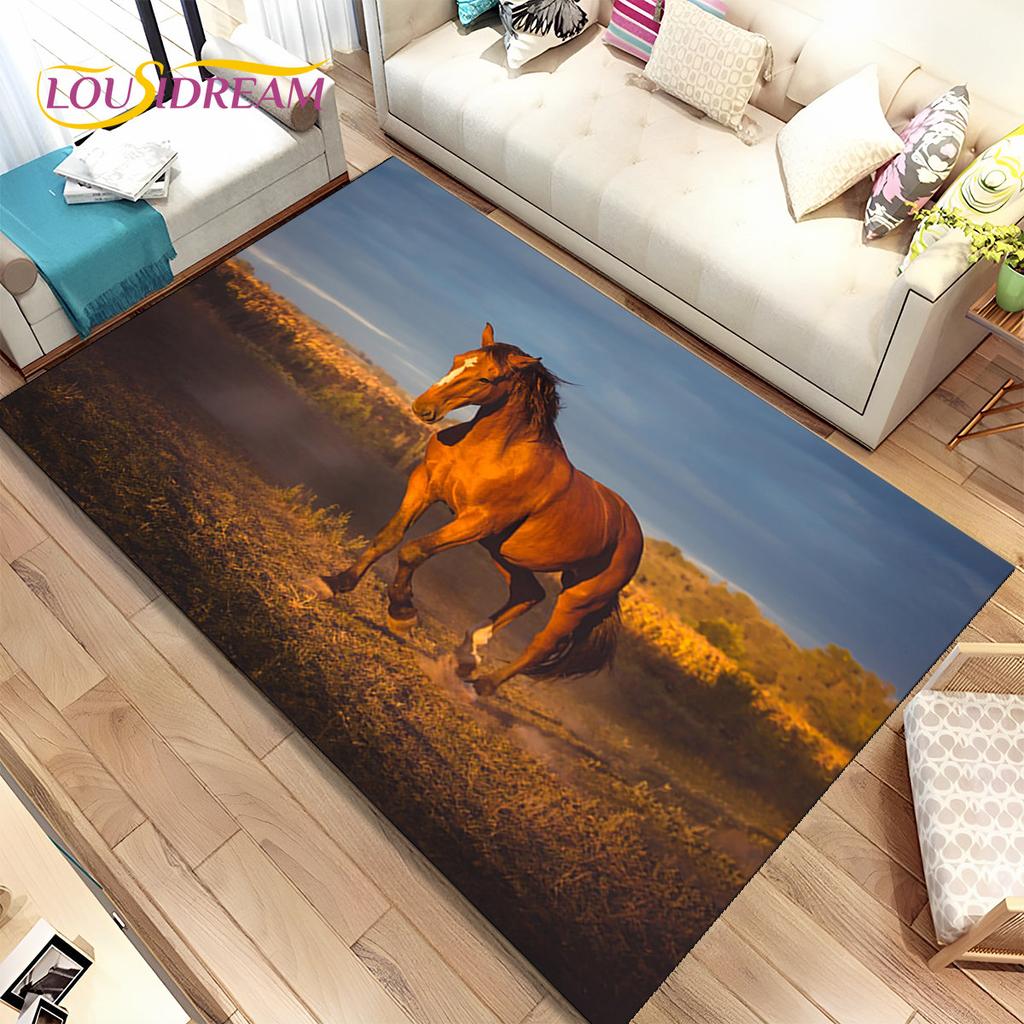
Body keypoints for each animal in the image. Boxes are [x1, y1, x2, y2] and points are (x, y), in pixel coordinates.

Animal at [311, 323, 643, 697]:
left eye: (486, 378)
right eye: (458, 358)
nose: (423, 407)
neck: (491, 453)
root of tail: (632, 533)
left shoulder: (477, 521)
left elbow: (414, 551)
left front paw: (402, 614)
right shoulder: (424, 486)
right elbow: (389, 536)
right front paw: (334, 582)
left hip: (579, 596)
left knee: (543, 642)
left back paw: (481, 685)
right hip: (505, 554)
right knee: (528, 594)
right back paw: (467, 655)